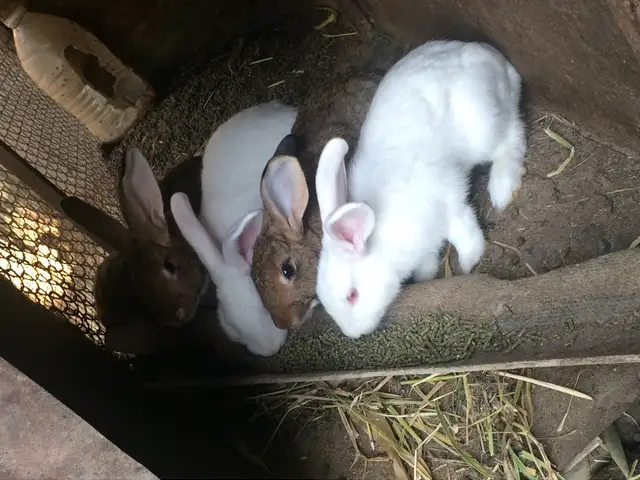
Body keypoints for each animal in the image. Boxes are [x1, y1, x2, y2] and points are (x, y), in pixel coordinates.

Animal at [314, 40, 527, 339]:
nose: (354, 334)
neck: (378, 235)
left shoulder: (449, 204)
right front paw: (427, 276)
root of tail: (500, 62)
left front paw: (468, 264)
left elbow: (467, 235)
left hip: (484, 125)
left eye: (352, 295)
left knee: (513, 137)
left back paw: (502, 188)